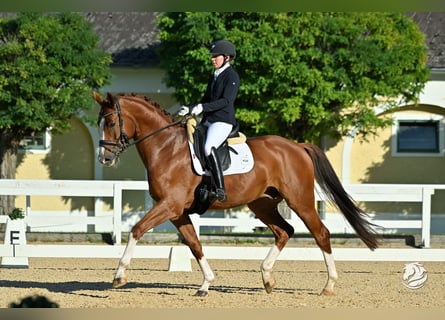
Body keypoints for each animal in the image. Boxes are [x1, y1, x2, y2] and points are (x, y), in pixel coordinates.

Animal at [93, 91, 378, 296]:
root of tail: (297, 146)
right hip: (262, 204)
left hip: (300, 201)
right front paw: (206, 284)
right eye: (98, 123)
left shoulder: (170, 205)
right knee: (284, 231)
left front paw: (119, 276)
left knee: (321, 233)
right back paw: (267, 278)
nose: (104, 158)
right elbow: (194, 244)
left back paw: (328, 286)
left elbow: (137, 229)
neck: (167, 149)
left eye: (111, 122)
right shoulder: (177, 211)